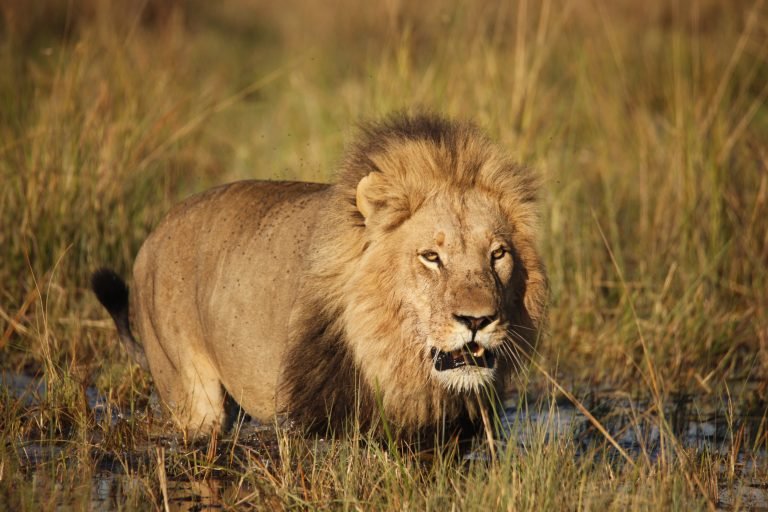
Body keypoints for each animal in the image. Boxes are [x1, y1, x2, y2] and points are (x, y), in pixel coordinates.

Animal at [92, 113, 547, 439]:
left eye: (498, 254)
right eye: (431, 257)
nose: (477, 321)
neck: (397, 358)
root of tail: (152, 236)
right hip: (189, 394)